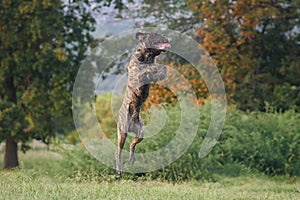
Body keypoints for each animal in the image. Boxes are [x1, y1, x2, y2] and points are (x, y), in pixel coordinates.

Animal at [115, 32, 171, 174]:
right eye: (156, 35)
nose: (166, 36)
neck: (148, 56)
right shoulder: (138, 73)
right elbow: (145, 69)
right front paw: (151, 67)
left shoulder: (155, 76)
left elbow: (157, 71)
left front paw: (162, 68)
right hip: (122, 133)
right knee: (118, 151)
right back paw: (119, 168)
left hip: (140, 132)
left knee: (132, 144)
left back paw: (132, 159)